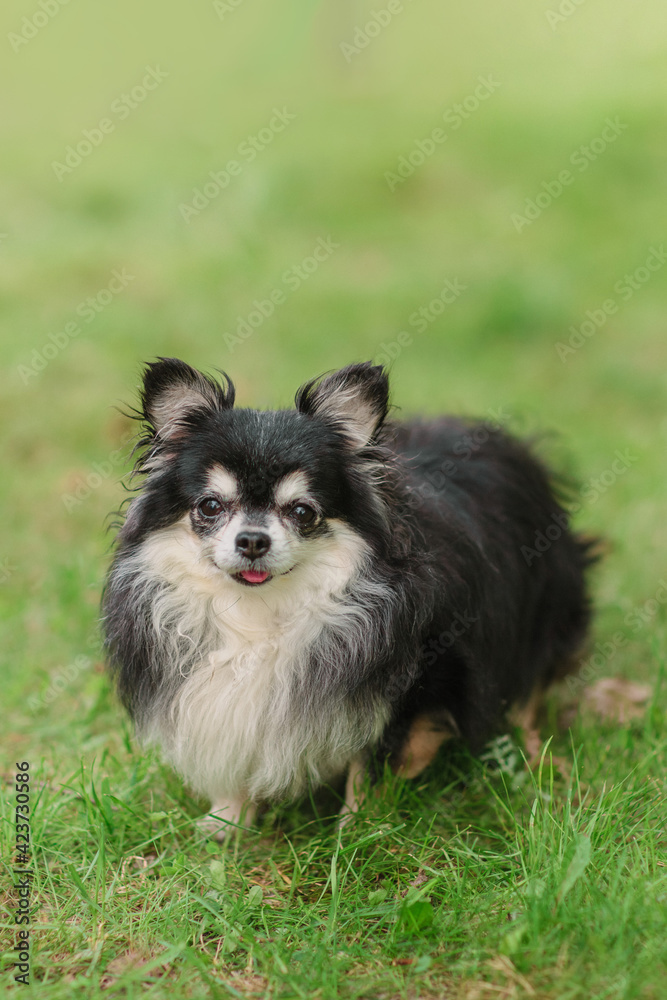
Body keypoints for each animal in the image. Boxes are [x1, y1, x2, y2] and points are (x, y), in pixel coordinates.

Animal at [104, 360, 596, 836]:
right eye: (209, 506)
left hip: (547, 608)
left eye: (302, 512)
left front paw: (358, 830)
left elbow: (372, 764)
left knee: (531, 687)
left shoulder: (412, 689)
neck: (262, 615)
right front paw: (227, 820)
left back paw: (535, 753)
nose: (252, 540)